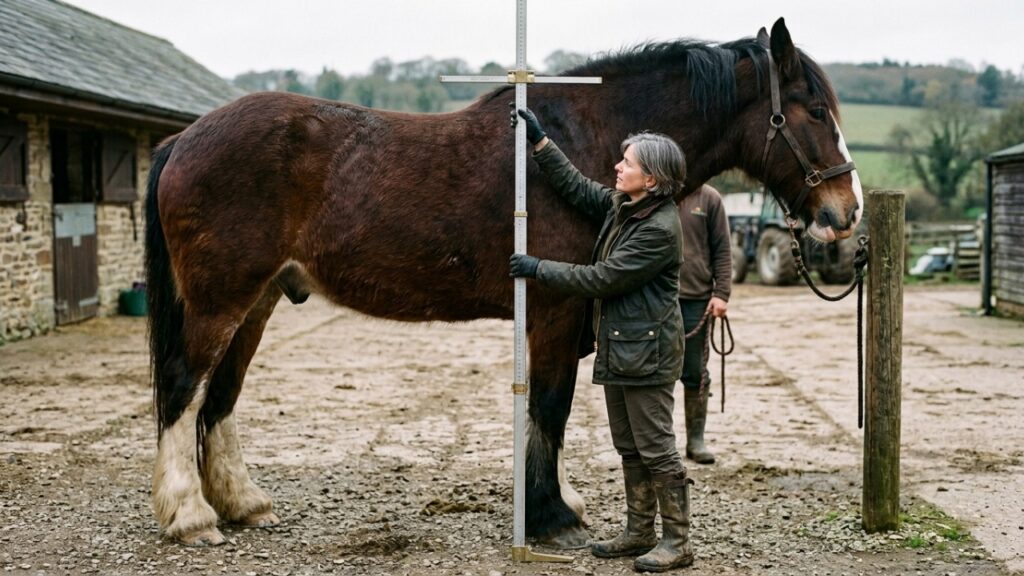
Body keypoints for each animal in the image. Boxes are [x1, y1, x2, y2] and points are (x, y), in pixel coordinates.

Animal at [145, 18, 862, 547]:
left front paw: (555, 501)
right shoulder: (555, 307)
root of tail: (183, 140)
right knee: (184, 387)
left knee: (221, 398)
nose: (845, 213)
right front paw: (552, 517)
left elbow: (551, 410)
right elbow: (550, 404)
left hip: (258, 300)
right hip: (220, 301)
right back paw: (190, 517)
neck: (587, 138)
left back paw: (244, 505)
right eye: (814, 111)